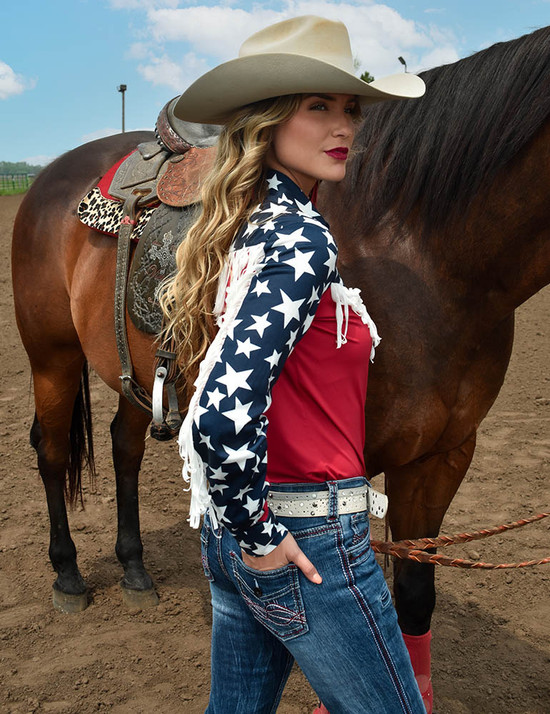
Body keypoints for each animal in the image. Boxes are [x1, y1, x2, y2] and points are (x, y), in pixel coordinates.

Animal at [9, 18, 550, 696]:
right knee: (53, 451)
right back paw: (68, 576)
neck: (424, 252)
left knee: (123, 447)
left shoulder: (442, 457)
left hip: (133, 374)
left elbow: (414, 601)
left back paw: (134, 570)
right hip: (51, 357)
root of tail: (51, 176)